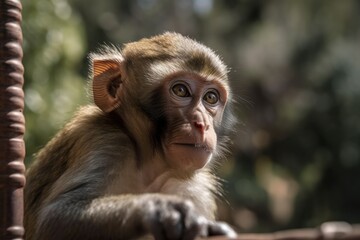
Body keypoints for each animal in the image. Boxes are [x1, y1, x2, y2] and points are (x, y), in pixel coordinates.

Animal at [23, 32, 236, 240]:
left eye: (210, 97)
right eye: (180, 90)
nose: (202, 124)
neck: (150, 169)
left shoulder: (196, 191)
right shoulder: (105, 141)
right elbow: (52, 219)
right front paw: (157, 207)